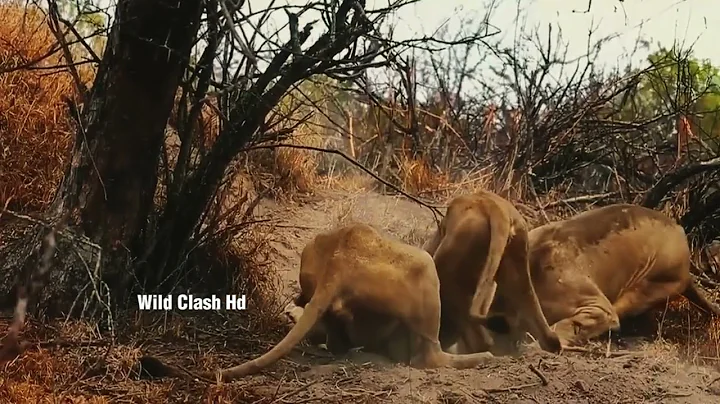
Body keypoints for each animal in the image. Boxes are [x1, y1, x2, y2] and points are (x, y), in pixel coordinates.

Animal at [140, 222, 495, 383]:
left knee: (333, 334)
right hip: (425, 269)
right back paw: (483, 357)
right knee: (429, 358)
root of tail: (339, 260)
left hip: (315, 271)